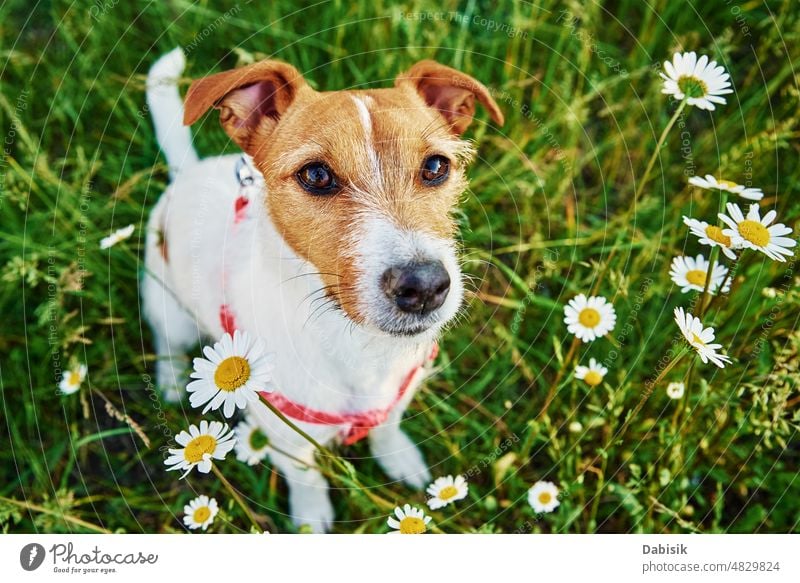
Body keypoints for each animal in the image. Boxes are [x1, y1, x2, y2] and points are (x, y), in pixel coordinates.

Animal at [145, 48, 504, 532]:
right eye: (315, 174)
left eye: (436, 167)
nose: (425, 286)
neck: (356, 344)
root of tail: (188, 174)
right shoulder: (284, 437)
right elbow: (306, 477)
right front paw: (310, 518)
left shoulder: (397, 394)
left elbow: (387, 429)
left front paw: (399, 459)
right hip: (169, 306)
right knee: (166, 338)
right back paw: (169, 377)